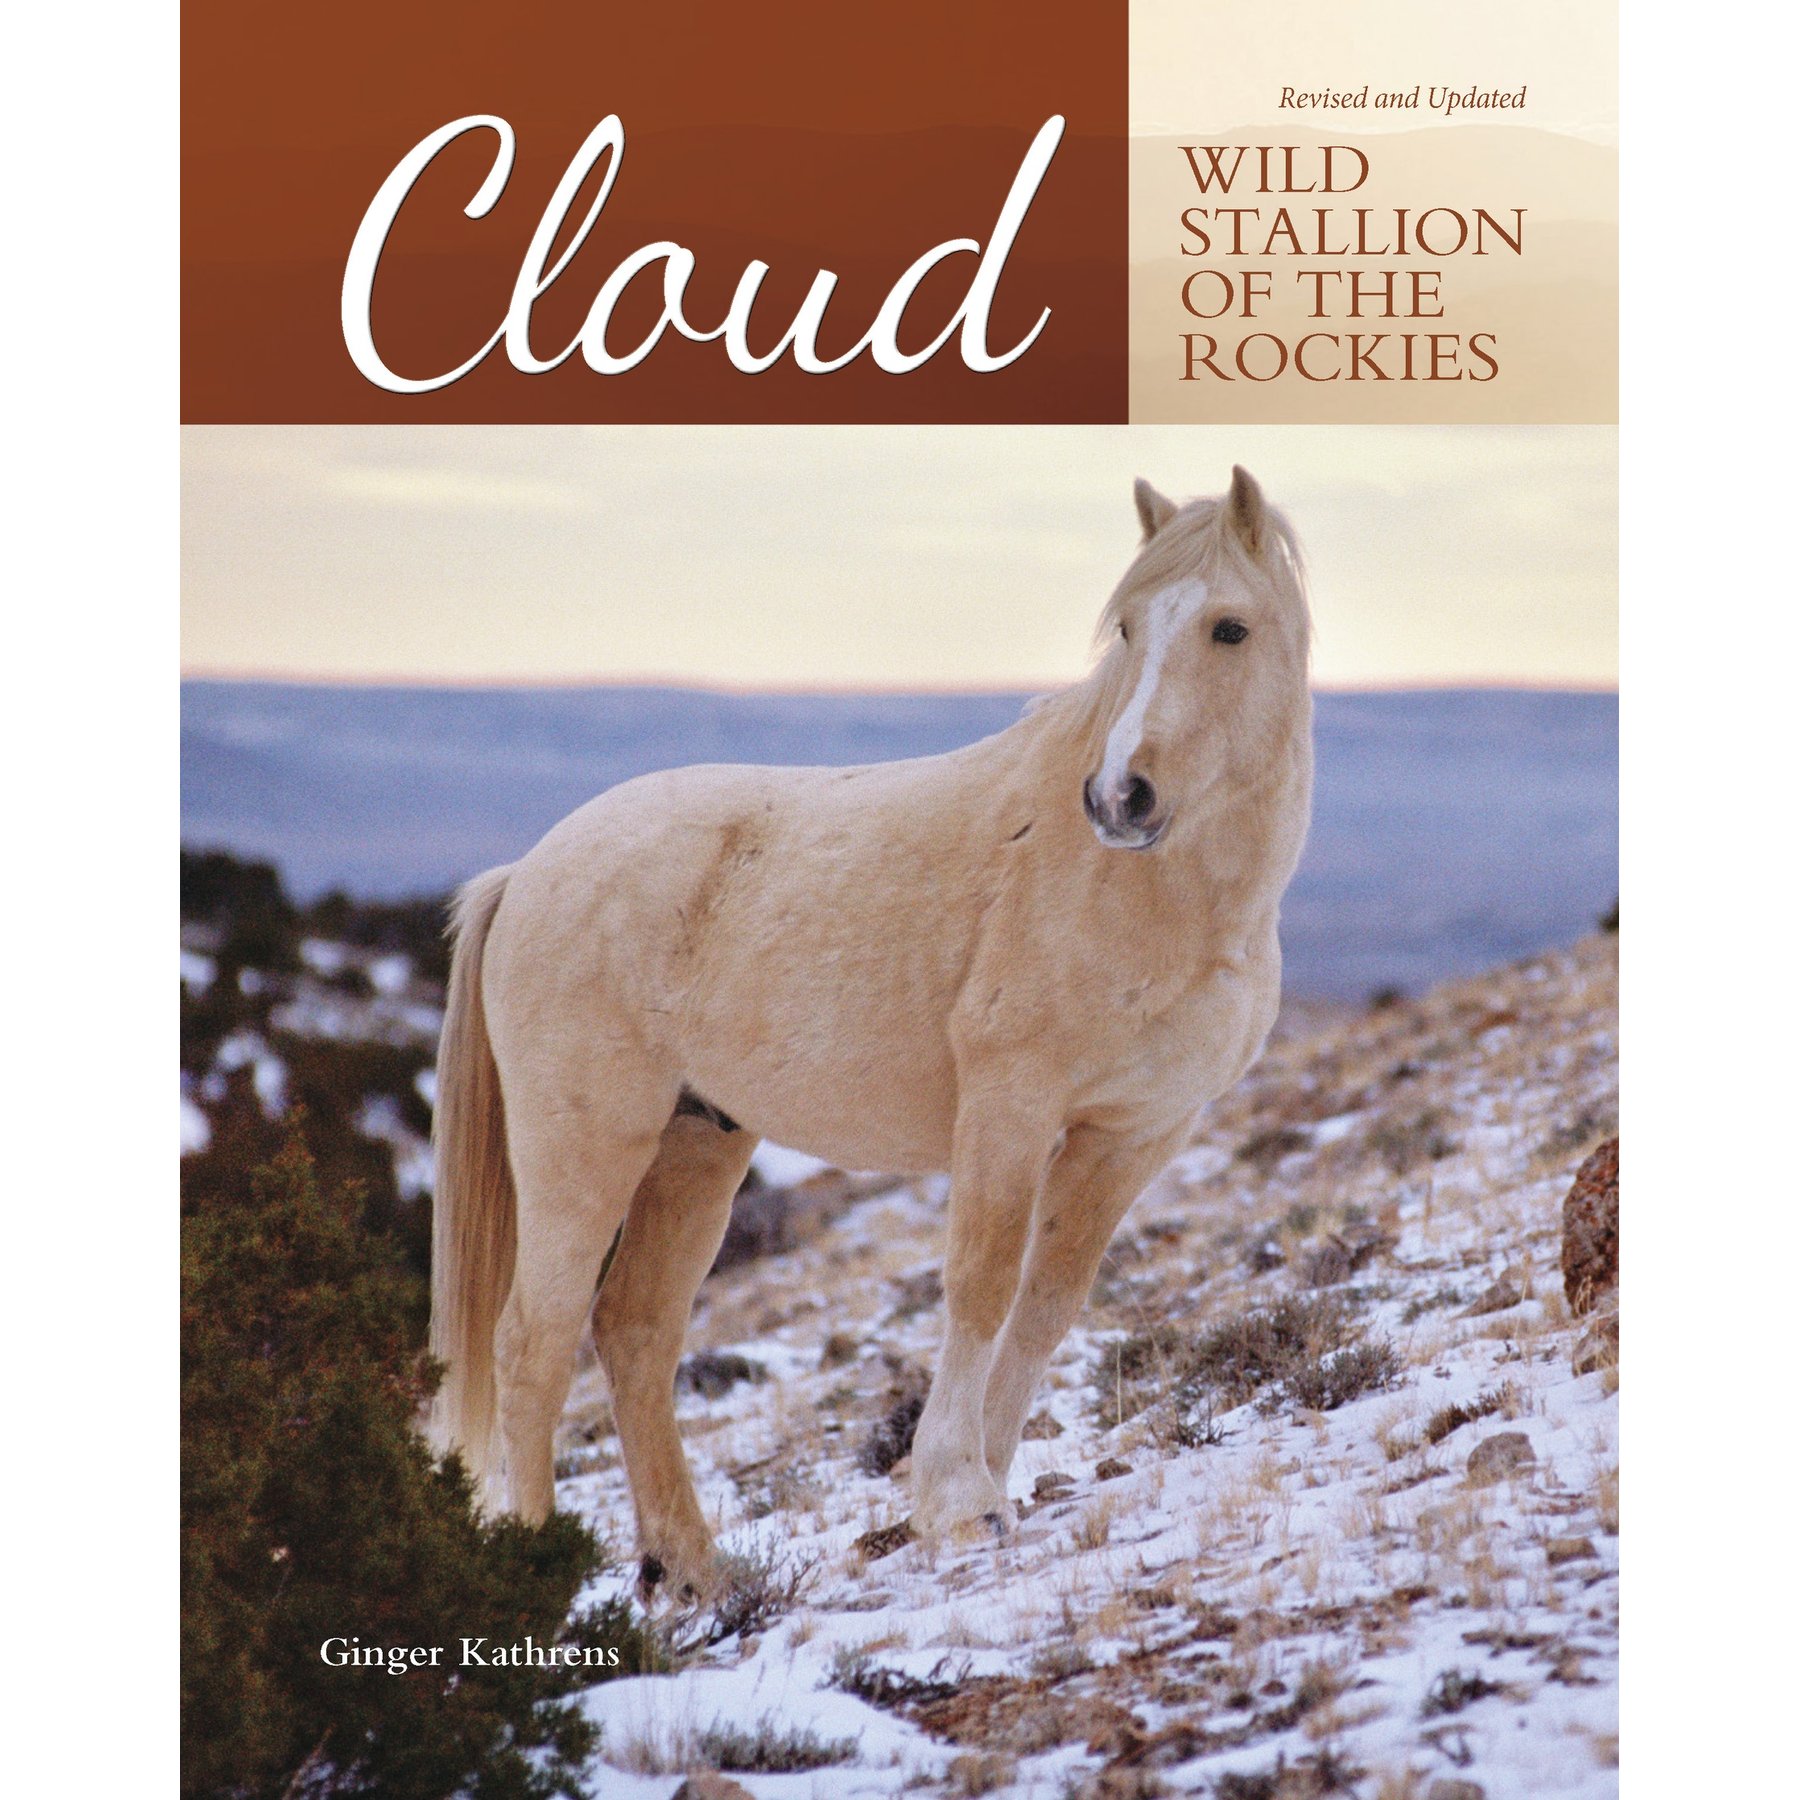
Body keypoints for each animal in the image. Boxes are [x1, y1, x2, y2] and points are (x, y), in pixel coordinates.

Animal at [429, 467, 1314, 1596]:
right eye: (1126, 628)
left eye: (1229, 628)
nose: (1120, 798)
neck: (1156, 894)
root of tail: (530, 870)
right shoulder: (1010, 1109)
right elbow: (980, 1284)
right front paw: (955, 1500)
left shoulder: (1134, 1134)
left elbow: (1048, 1302)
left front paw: (988, 1480)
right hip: (582, 1150)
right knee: (533, 1346)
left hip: (696, 1147)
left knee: (634, 1332)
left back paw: (697, 1571)